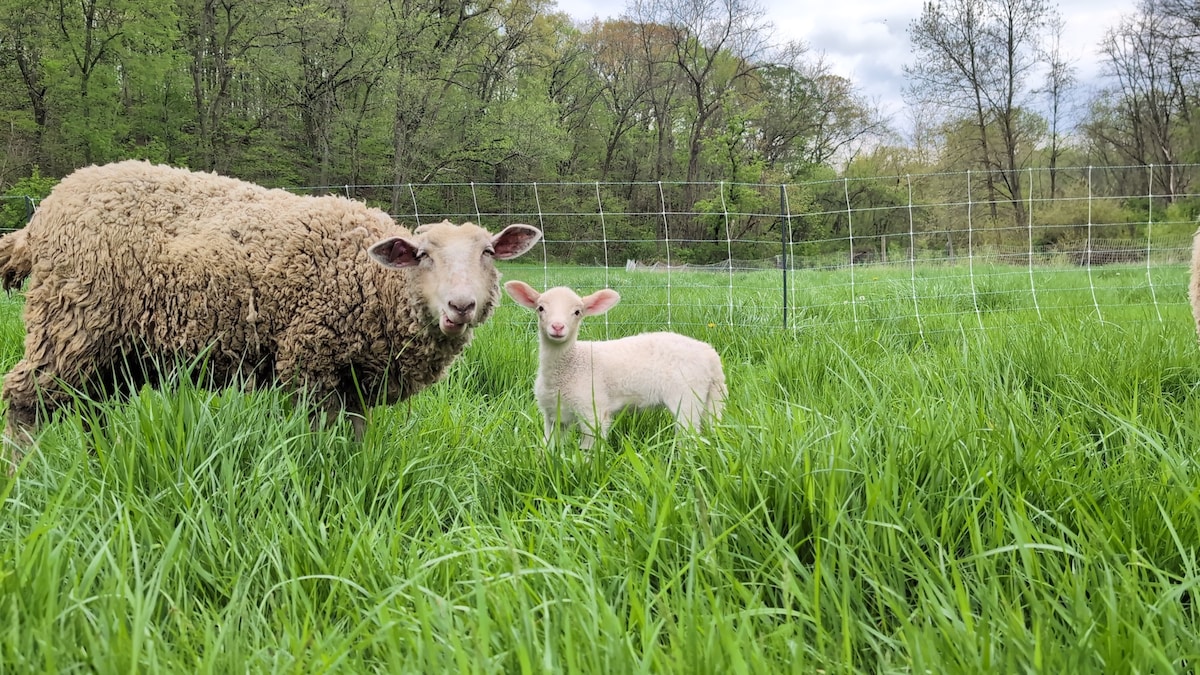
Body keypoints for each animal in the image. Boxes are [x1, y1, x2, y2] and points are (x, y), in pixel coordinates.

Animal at [0, 160, 542, 468]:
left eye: (488, 253)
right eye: (424, 256)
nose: (461, 305)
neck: (374, 281)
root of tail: (41, 216)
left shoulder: (356, 377)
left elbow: (357, 436)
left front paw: (357, 476)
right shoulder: (310, 360)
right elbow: (320, 439)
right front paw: (323, 480)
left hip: (115, 344)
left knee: (92, 406)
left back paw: (105, 462)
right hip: (71, 317)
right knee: (25, 400)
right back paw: (20, 479)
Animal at [503, 280, 726, 449]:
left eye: (577, 312)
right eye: (540, 308)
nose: (557, 327)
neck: (570, 365)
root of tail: (710, 355)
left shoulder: (593, 410)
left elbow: (588, 452)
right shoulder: (553, 415)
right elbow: (548, 447)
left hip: (687, 397)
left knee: (691, 438)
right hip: (709, 398)